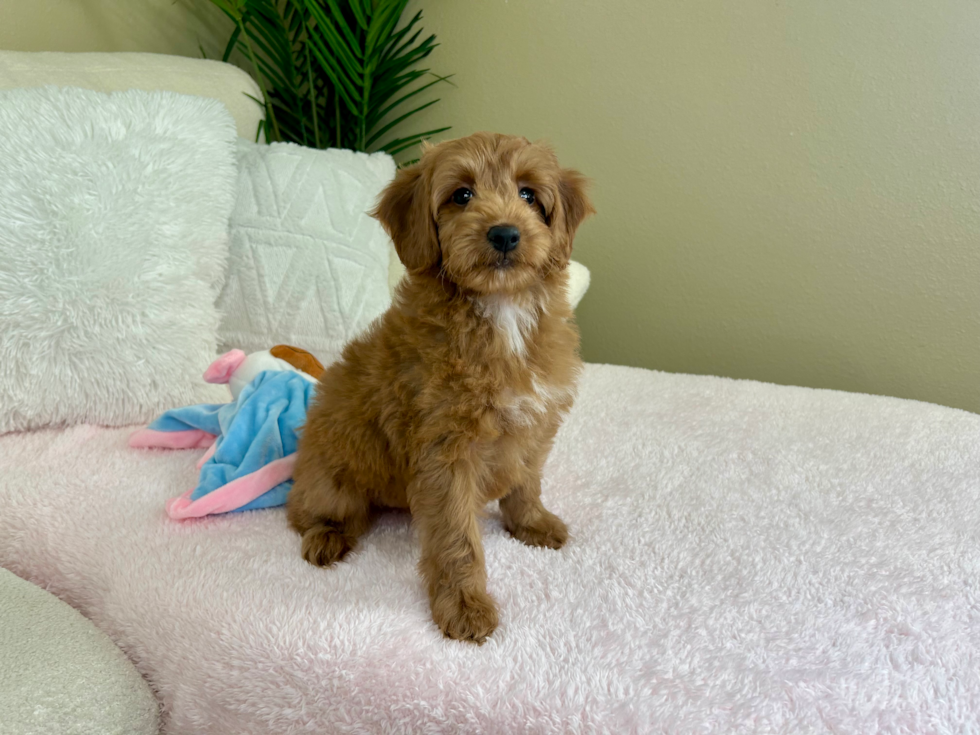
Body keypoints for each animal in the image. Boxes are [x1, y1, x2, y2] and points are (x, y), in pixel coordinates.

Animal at [288, 132, 592, 644]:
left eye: (528, 195)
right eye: (461, 195)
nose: (505, 234)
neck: (500, 310)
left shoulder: (535, 423)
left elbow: (525, 482)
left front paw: (531, 524)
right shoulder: (444, 452)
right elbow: (456, 538)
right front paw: (464, 606)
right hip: (332, 477)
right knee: (305, 511)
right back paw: (326, 536)